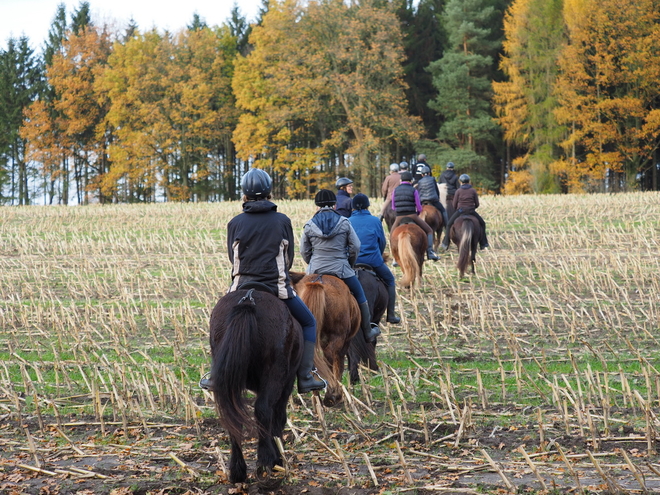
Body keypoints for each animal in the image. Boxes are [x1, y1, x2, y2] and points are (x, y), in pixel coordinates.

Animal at [209, 288, 302, 486]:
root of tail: (248, 299)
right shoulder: (287, 383)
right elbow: (278, 418)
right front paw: (278, 459)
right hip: (275, 374)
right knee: (264, 410)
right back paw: (265, 462)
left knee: (233, 419)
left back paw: (237, 471)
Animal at [292, 272, 358, 406]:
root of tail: (318, 281)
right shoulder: (345, 342)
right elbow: (339, 365)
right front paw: (337, 395)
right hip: (338, 337)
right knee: (330, 358)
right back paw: (330, 396)